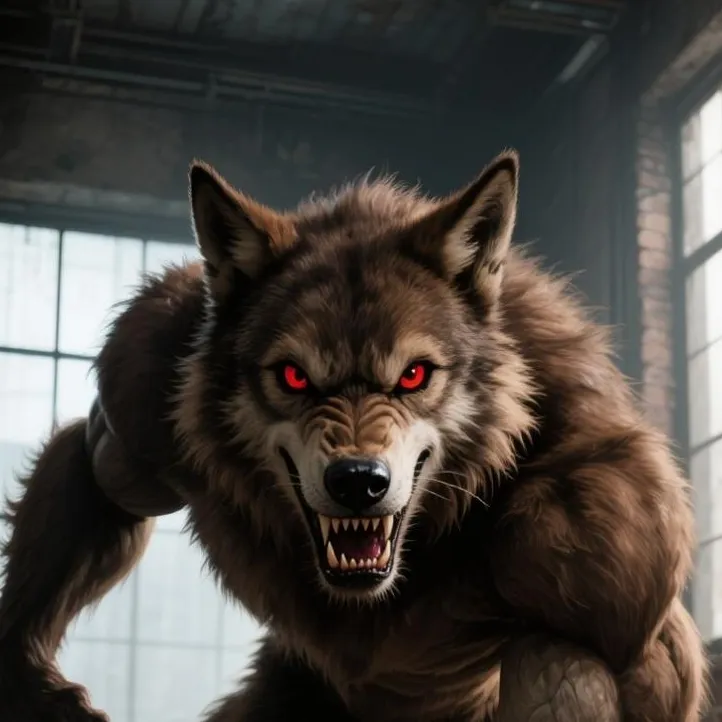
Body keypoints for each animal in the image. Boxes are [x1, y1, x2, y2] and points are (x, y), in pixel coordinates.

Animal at [0, 150, 708, 722]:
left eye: (414, 375)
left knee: (558, 654)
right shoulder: (147, 391)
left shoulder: (612, 485)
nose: (359, 481)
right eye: (294, 376)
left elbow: (630, 608)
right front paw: (28, 678)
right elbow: (105, 470)